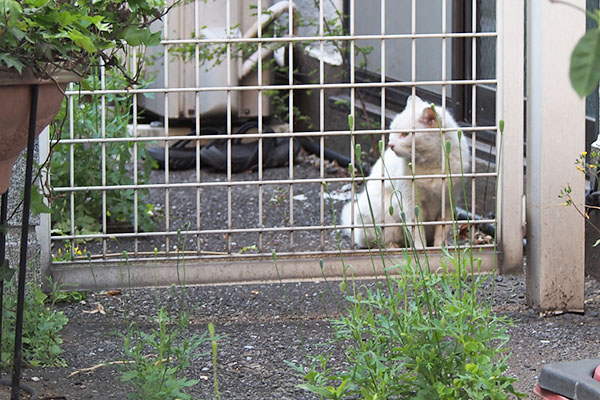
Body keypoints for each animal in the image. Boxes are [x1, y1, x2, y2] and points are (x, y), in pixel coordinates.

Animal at [340, 95, 472, 248]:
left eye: (405, 134)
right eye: (392, 130)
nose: (391, 144)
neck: (431, 165)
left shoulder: (448, 202)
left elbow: (442, 231)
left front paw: (441, 248)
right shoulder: (410, 203)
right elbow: (417, 233)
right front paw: (421, 250)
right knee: (379, 241)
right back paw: (394, 247)